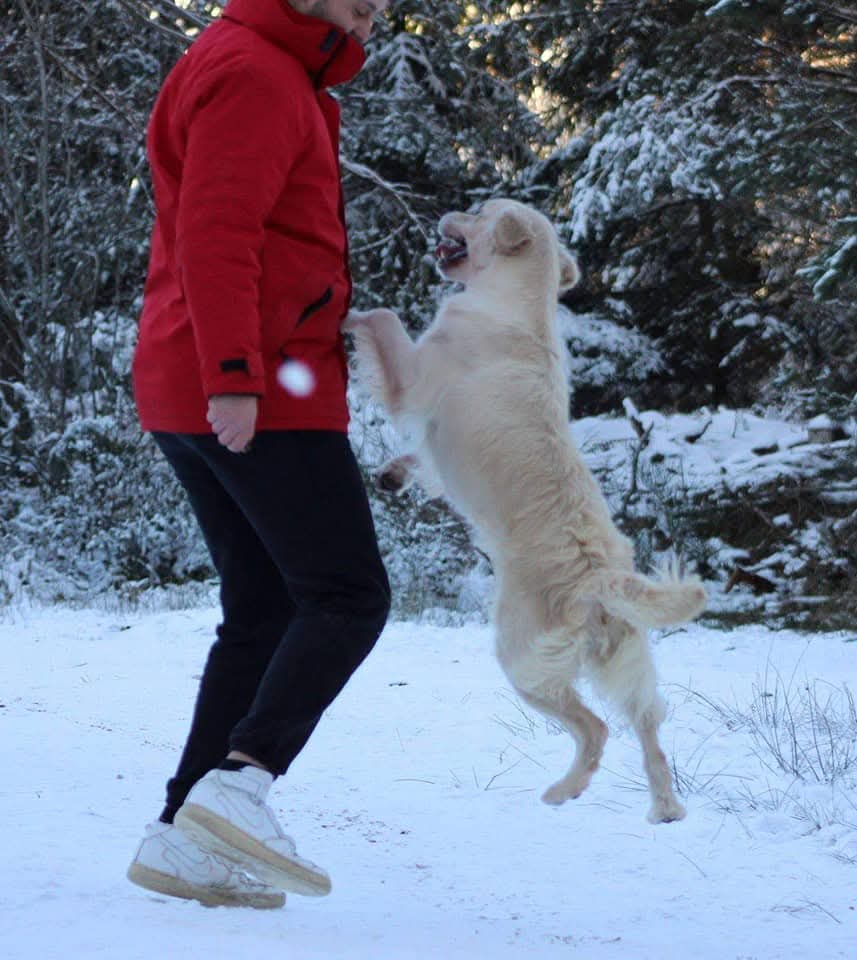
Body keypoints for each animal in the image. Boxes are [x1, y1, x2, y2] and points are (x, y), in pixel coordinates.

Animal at [344, 198, 706, 823]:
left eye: (479, 211)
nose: (449, 211)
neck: (515, 302)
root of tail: (597, 578)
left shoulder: (416, 376)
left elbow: (385, 317)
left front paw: (347, 313)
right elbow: (420, 460)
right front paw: (393, 473)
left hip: (521, 658)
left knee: (594, 728)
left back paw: (564, 790)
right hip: (627, 661)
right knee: (646, 727)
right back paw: (664, 809)